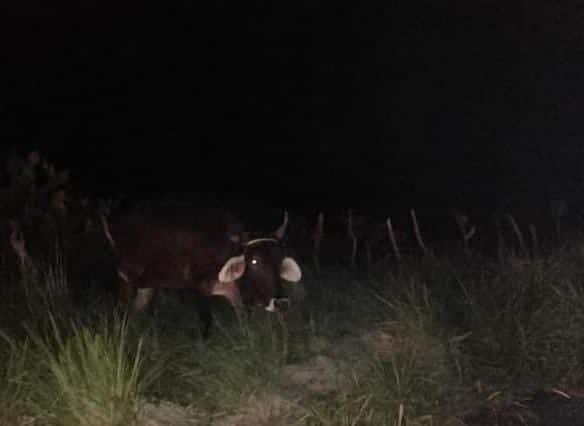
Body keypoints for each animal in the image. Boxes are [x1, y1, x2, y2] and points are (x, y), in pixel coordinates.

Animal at [100, 206, 302, 336]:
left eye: (280, 261)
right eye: (254, 261)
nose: (282, 303)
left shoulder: (235, 295)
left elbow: (244, 322)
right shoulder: (198, 289)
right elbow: (206, 324)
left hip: (146, 287)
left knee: (136, 310)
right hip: (125, 278)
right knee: (121, 311)